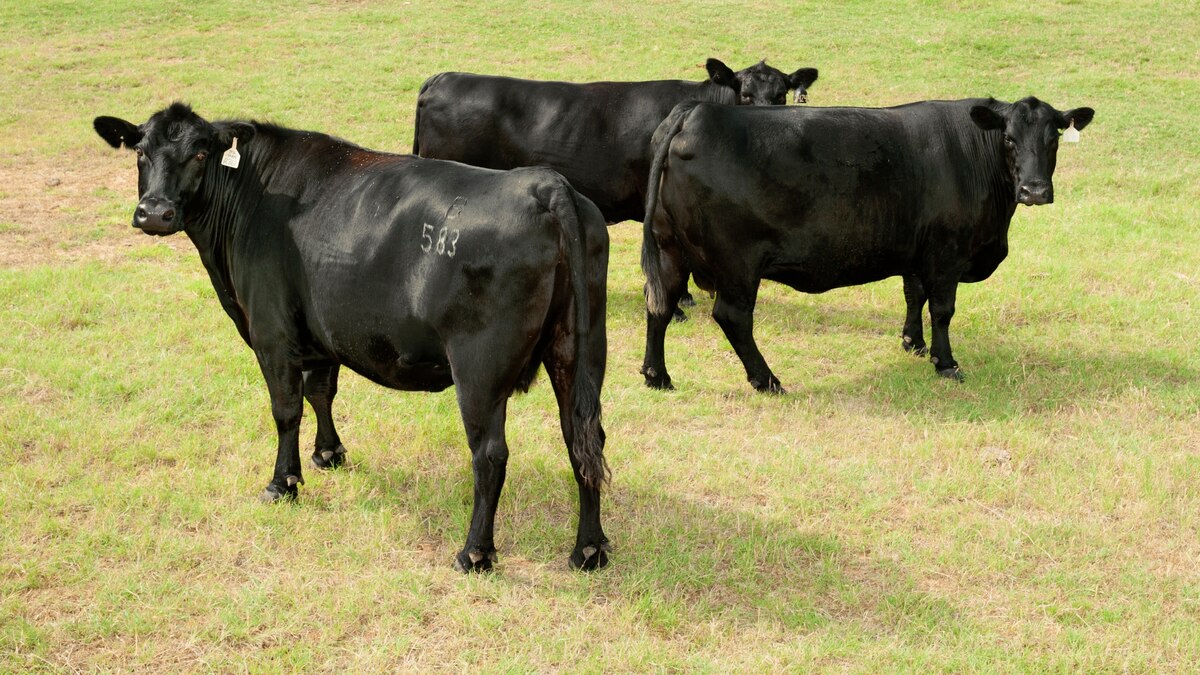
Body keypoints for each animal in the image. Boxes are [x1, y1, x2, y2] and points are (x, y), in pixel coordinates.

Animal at [93, 103, 612, 573]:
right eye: (140, 150)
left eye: (201, 153)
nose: (154, 213)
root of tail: (546, 185)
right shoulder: (321, 332)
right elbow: (321, 391)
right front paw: (329, 454)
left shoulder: (271, 330)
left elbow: (286, 409)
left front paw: (283, 484)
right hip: (580, 351)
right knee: (583, 437)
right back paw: (589, 550)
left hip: (479, 368)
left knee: (490, 455)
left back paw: (475, 553)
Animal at [639, 96, 1094, 392]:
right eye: (1010, 138)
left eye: (1053, 138)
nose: (1035, 190)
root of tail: (695, 111)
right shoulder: (946, 254)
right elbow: (943, 310)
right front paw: (946, 363)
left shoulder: (916, 250)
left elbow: (914, 294)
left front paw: (913, 343)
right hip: (737, 262)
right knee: (732, 317)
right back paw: (767, 380)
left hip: (669, 248)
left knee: (659, 305)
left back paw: (657, 376)